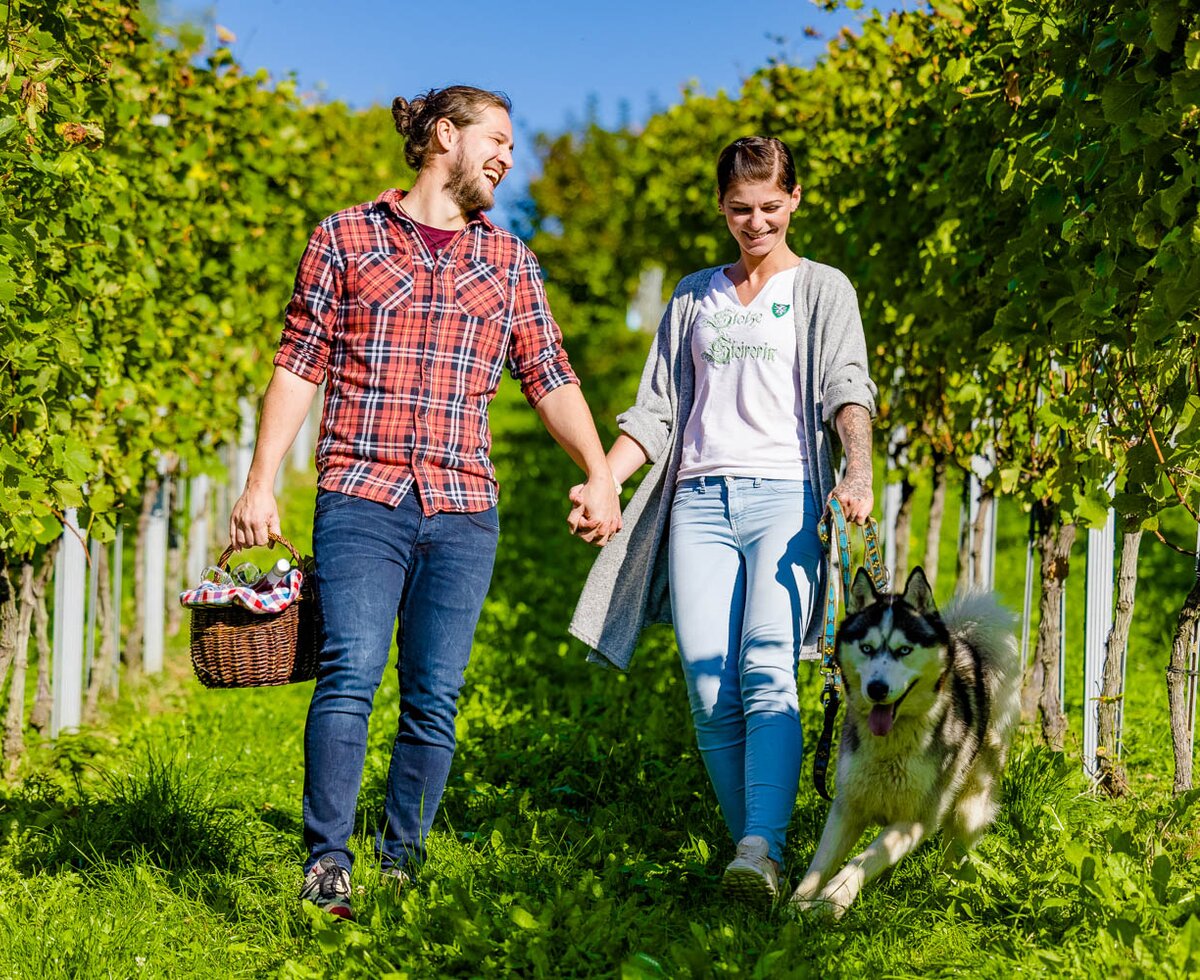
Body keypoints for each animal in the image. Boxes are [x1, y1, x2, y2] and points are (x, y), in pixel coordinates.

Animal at [792, 566, 1017, 916]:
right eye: (867, 648)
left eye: (904, 650)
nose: (877, 689)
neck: (889, 748)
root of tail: (965, 643)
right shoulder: (847, 807)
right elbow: (821, 862)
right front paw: (795, 906)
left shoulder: (915, 821)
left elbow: (860, 861)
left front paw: (831, 903)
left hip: (969, 807)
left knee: (954, 853)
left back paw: (946, 891)